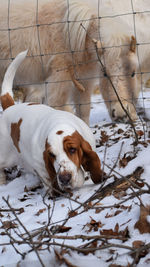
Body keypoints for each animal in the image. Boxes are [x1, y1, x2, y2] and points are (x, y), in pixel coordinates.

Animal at [0, 50, 104, 197]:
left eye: (72, 149)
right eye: (52, 155)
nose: (65, 178)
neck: (59, 123)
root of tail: (10, 106)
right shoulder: (42, 166)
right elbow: (49, 180)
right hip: (5, 157)